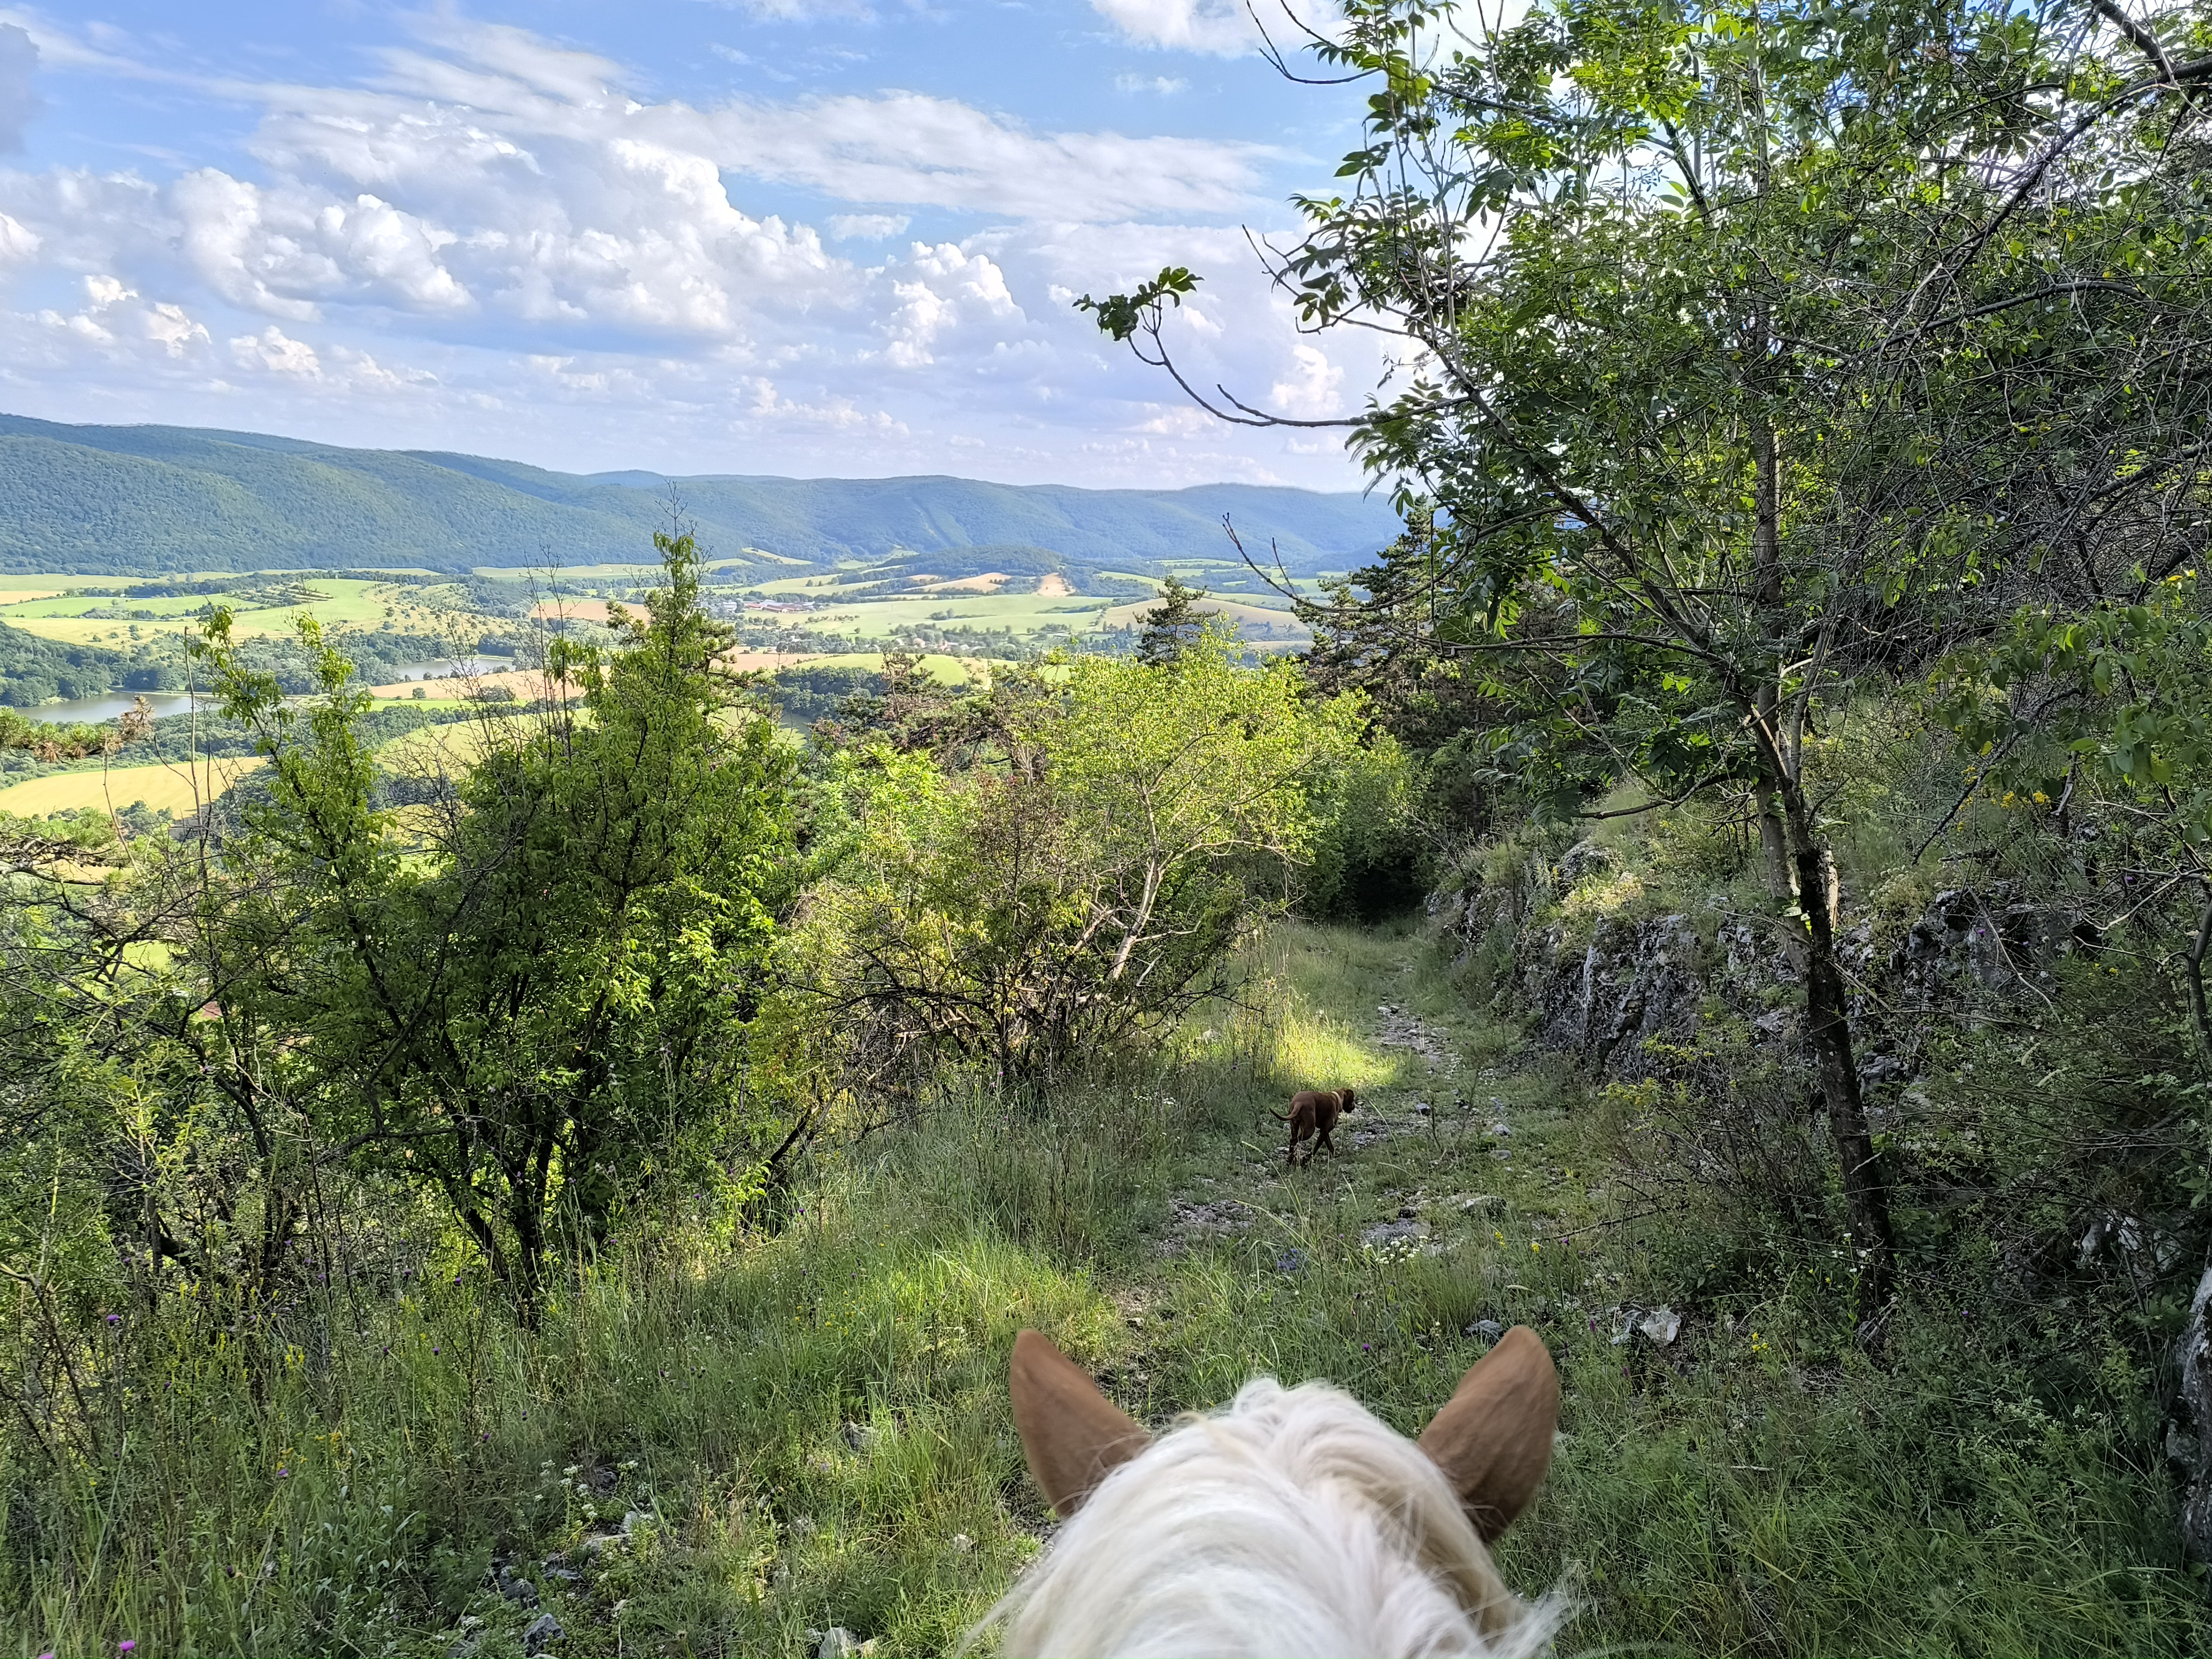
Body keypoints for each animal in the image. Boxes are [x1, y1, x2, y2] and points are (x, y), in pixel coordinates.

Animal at [1274, 1092, 1353, 1168]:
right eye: (1352, 1100)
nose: (1354, 1106)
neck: (1337, 1098)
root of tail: (1298, 1103)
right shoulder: (1325, 1131)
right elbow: (1316, 1148)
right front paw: (1305, 1159)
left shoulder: (1324, 1131)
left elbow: (1330, 1145)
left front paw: (1335, 1155)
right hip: (1309, 1131)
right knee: (1293, 1140)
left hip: (1295, 1128)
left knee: (1293, 1142)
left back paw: (1290, 1159)